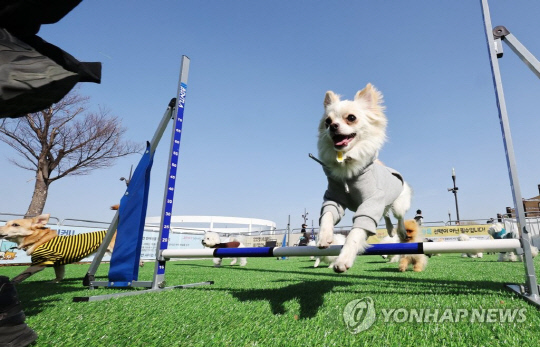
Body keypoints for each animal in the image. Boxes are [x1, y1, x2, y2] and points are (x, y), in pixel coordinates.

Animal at [314, 83, 412, 274]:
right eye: (327, 121)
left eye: (351, 118)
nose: (332, 126)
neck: (347, 167)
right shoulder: (333, 198)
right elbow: (328, 215)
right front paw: (324, 237)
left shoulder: (371, 202)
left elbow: (355, 233)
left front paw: (343, 259)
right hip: (384, 204)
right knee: (386, 215)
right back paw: (390, 230)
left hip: (398, 204)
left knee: (398, 217)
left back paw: (401, 232)